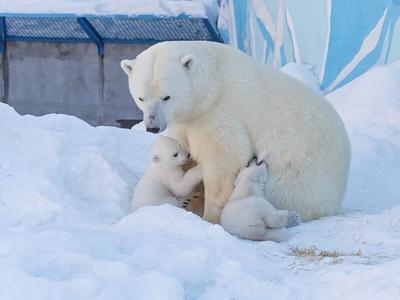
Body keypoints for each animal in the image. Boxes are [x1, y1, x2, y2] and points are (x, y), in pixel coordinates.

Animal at [121, 41, 350, 224]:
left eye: (166, 97)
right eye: (141, 97)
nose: (152, 126)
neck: (211, 88)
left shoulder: (221, 113)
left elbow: (223, 160)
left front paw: (210, 216)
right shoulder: (187, 119)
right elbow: (183, 147)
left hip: (299, 179)